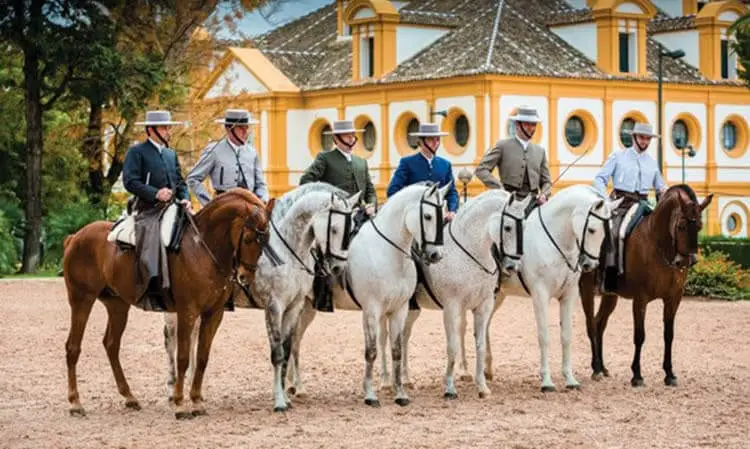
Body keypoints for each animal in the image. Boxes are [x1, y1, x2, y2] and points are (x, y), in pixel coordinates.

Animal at [61, 188, 274, 416]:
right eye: (249, 238)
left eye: (266, 239)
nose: (245, 277)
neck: (202, 248)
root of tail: (75, 237)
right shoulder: (187, 311)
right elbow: (183, 357)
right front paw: (180, 404)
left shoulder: (214, 314)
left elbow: (202, 357)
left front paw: (196, 401)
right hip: (82, 300)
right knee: (73, 347)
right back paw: (75, 402)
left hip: (117, 305)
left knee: (111, 344)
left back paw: (129, 397)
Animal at [163, 181, 362, 410]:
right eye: (335, 229)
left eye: (350, 230)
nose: (338, 269)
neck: (288, 253)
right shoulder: (274, 307)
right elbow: (277, 353)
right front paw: (279, 401)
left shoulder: (294, 307)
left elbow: (286, 350)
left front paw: (285, 396)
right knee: (171, 339)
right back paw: (172, 389)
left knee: (193, 336)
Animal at [326, 182, 450, 406]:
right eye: (428, 216)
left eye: (444, 213)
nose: (436, 255)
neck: (388, 252)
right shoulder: (371, 310)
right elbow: (371, 351)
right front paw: (369, 394)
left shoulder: (399, 309)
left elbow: (396, 349)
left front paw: (400, 392)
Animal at [580, 184, 716, 386]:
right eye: (681, 226)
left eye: (700, 226)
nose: (686, 262)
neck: (659, 245)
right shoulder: (640, 299)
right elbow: (639, 335)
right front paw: (637, 375)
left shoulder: (673, 299)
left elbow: (669, 335)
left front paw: (669, 374)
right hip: (586, 288)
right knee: (590, 324)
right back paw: (596, 368)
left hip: (610, 295)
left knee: (599, 324)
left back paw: (602, 367)